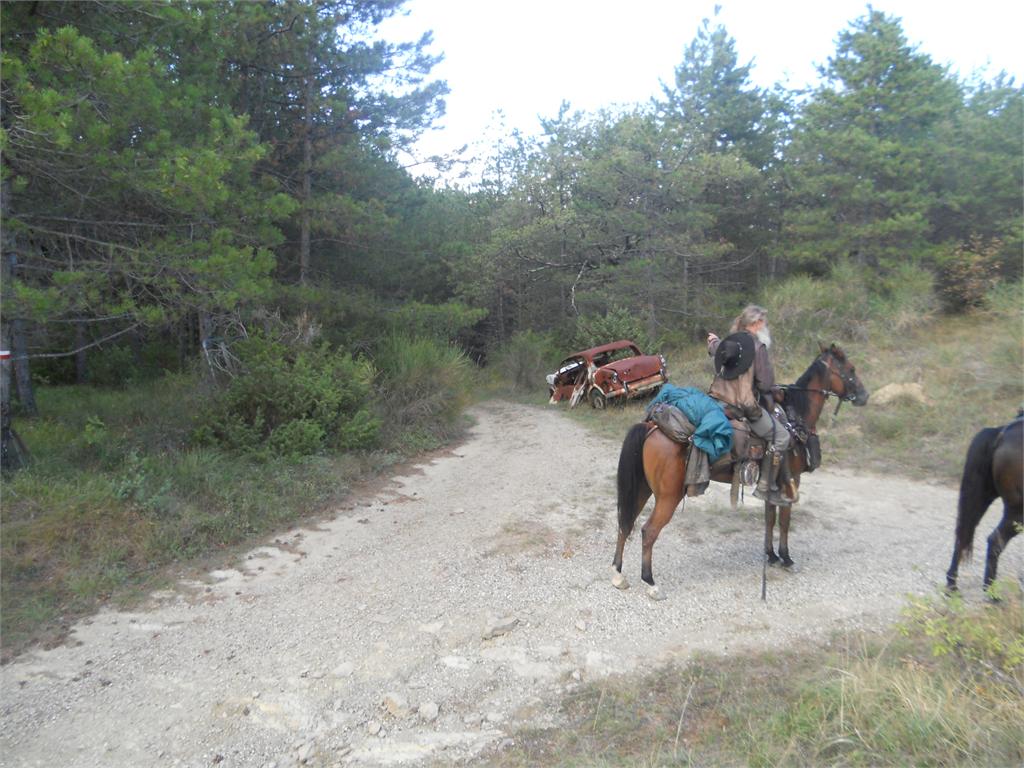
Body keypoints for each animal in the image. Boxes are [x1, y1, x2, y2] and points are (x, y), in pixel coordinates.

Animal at [612, 343, 869, 599]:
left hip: (642, 489)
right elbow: (784, 521)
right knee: (648, 531)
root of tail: (652, 426)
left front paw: (771, 555)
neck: (793, 417)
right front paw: (786, 558)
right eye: (851, 369)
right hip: (668, 497)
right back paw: (651, 582)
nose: (864, 396)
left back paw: (618, 573)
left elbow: (770, 519)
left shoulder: (772, 485)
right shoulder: (791, 481)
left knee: (625, 523)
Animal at [945, 415, 1023, 594]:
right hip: (1017, 510)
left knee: (964, 533)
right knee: (994, 540)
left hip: (983, 495)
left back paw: (952, 584)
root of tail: (1002, 433)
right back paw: (991, 594)